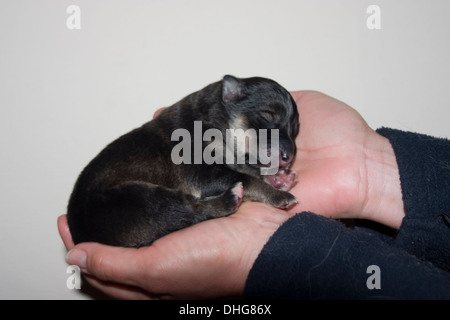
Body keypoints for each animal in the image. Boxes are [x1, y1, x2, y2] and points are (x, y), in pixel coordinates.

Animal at [67, 75, 298, 248]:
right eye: (268, 115)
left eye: (295, 130)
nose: (289, 156)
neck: (213, 121)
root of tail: (80, 235)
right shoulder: (201, 172)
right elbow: (245, 176)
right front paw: (278, 193)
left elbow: (245, 167)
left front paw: (278, 178)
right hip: (139, 199)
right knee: (189, 209)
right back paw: (231, 197)